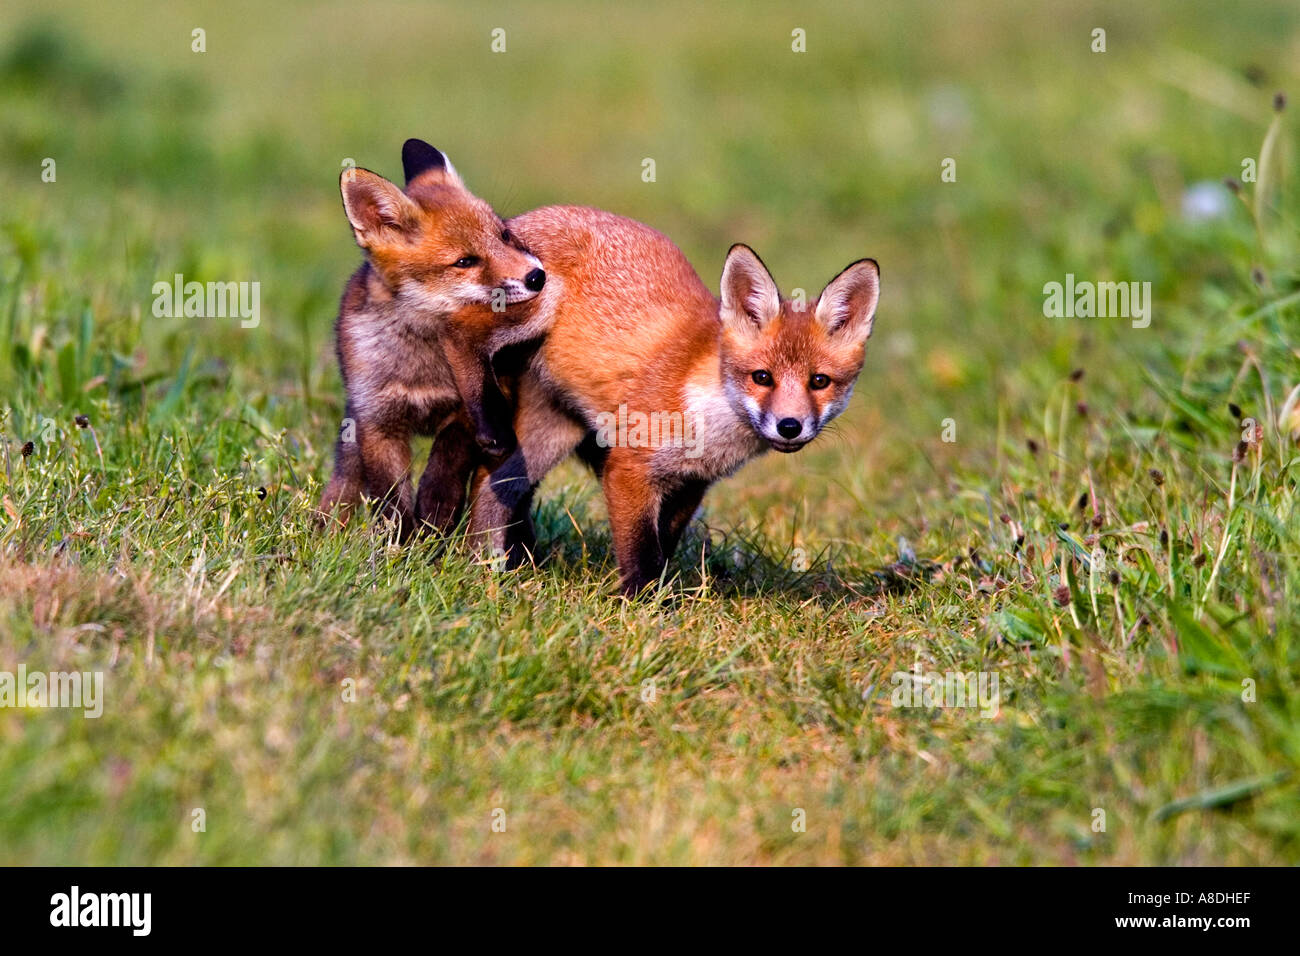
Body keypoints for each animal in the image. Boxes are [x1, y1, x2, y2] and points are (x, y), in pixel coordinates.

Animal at [318, 139, 549, 536]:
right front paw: (401, 542)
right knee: (344, 480)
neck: (422, 361)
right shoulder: (379, 423)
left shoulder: (470, 409)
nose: (537, 277)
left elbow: (447, 460)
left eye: (503, 235)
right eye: (465, 262)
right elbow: (390, 496)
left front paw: (434, 516)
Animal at [464, 205, 881, 594]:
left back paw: (489, 571)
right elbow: (642, 554)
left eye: (819, 381)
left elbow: (663, 547)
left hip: (551, 434)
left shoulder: (691, 485)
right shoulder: (628, 467)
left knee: (493, 486)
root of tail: (515, 221)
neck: (707, 417)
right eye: (762, 377)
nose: (790, 427)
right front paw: (639, 606)